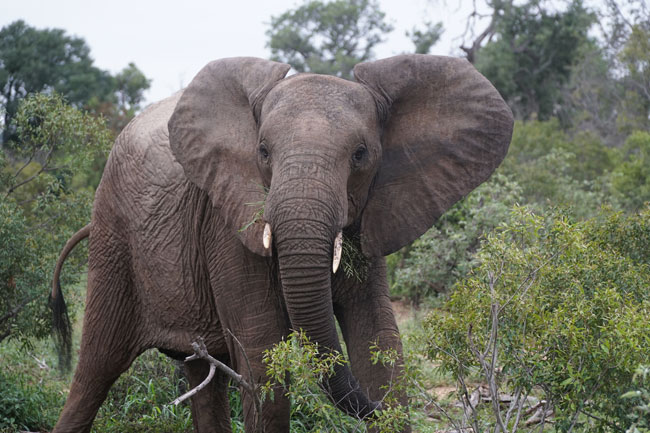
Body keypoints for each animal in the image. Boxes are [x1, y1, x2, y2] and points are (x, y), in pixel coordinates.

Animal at [49, 54, 512, 432]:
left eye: (361, 154)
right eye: (263, 151)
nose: (372, 410)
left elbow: (380, 341)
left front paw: (385, 397)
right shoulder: (227, 223)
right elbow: (263, 355)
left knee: (200, 375)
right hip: (113, 239)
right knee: (95, 369)